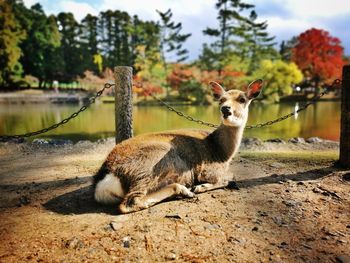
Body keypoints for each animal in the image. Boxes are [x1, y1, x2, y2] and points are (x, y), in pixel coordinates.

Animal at [93, 80, 262, 214]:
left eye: (242, 99)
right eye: (221, 99)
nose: (225, 109)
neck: (222, 151)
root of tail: (105, 176)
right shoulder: (209, 170)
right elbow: (231, 176)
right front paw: (200, 187)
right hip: (151, 165)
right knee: (130, 202)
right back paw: (184, 190)